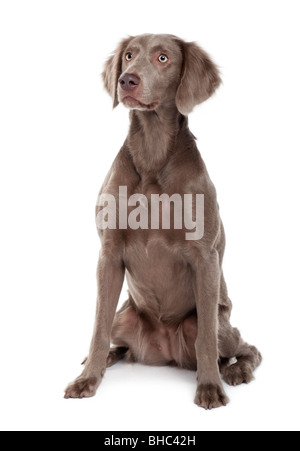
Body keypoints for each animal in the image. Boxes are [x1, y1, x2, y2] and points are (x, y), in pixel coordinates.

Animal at [64, 33, 262, 410]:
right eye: (129, 55)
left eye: (163, 58)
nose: (127, 79)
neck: (153, 151)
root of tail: (162, 354)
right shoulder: (108, 254)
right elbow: (97, 330)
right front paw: (87, 379)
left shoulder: (205, 257)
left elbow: (206, 342)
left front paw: (209, 388)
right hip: (124, 316)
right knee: (117, 341)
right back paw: (106, 359)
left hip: (216, 321)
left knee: (244, 347)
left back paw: (236, 370)